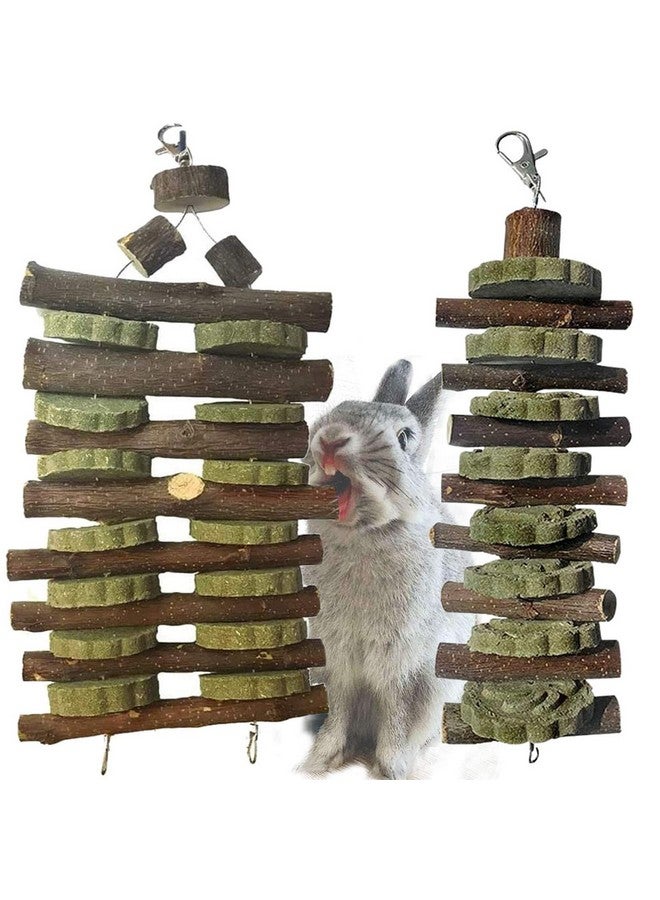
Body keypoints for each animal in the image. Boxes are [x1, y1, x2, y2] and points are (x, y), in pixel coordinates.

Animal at [300, 359, 475, 780]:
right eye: (337, 409)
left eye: (404, 437)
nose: (331, 439)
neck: (365, 535)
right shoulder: (338, 660)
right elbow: (338, 711)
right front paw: (317, 763)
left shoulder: (404, 664)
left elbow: (396, 712)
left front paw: (391, 770)